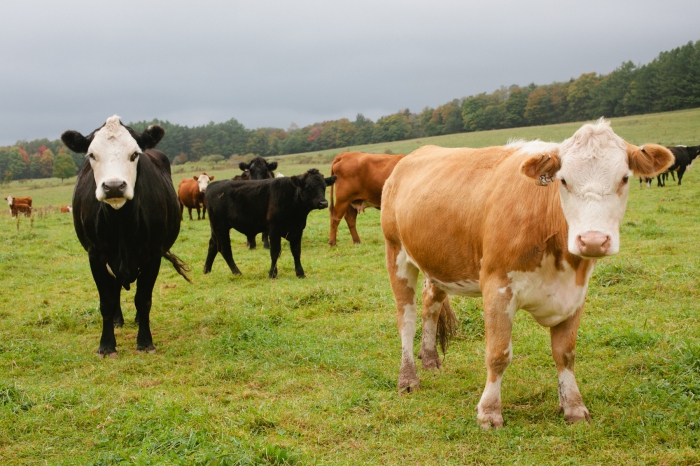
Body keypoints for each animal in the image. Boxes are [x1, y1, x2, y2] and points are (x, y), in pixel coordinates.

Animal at [60, 115, 189, 356]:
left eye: (134, 154)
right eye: (92, 155)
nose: (113, 186)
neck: (121, 223)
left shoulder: (153, 254)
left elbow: (143, 299)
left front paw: (145, 342)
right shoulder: (95, 255)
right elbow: (106, 301)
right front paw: (106, 345)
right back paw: (117, 320)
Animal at [202, 169, 336, 278]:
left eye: (324, 186)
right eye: (309, 187)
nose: (323, 203)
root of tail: (213, 185)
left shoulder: (298, 230)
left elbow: (296, 251)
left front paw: (300, 273)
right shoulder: (274, 230)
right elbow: (275, 252)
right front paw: (272, 273)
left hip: (216, 228)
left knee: (213, 245)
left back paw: (206, 270)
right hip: (221, 227)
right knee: (224, 248)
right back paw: (237, 272)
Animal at [380, 118, 676, 428]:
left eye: (625, 178)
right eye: (563, 180)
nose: (593, 240)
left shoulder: (576, 293)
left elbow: (565, 353)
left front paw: (573, 406)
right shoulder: (497, 287)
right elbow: (498, 354)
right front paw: (489, 412)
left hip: (438, 261)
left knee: (431, 303)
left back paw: (430, 359)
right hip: (396, 251)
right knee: (406, 317)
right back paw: (408, 378)